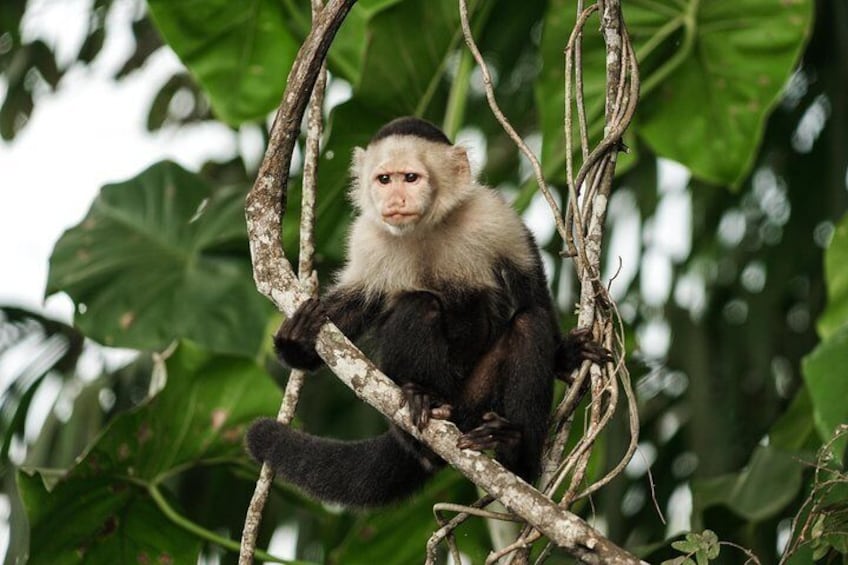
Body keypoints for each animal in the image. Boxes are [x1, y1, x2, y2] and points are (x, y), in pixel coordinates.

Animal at [247, 117, 608, 504]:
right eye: (384, 179)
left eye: (410, 178)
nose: (395, 199)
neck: (425, 228)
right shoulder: (366, 239)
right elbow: (351, 311)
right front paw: (296, 341)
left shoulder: (493, 216)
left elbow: (531, 296)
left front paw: (566, 354)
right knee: (419, 305)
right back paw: (422, 408)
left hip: (475, 403)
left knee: (528, 324)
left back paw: (515, 455)